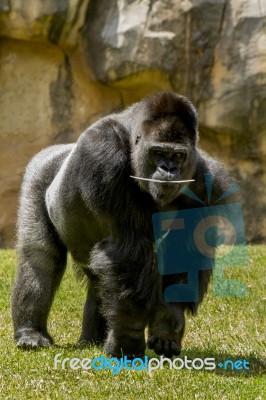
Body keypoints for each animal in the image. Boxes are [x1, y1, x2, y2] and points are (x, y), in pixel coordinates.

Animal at [11, 92, 236, 358]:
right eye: (158, 152)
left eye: (178, 156)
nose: (169, 169)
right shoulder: (102, 154)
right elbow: (127, 248)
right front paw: (128, 336)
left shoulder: (204, 181)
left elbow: (185, 252)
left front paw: (168, 321)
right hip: (39, 171)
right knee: (42, 257)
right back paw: (30, 332)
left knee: (99, 279)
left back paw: (92, 339)